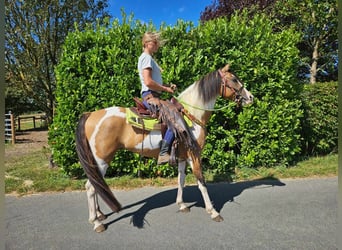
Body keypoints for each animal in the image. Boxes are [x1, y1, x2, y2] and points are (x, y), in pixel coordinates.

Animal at [77, 63, 254, 231]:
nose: (251, 97)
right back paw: (96, 222)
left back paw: (100, 215)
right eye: (234, 79)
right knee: (91, 187)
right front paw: (213, 212)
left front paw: (182, 205)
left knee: (96, 184)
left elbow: (181, 180)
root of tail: (90, 115)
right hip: (102, 159)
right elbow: (201, 183)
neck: (191, 114)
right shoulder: (195, 155)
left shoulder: (183, 157)